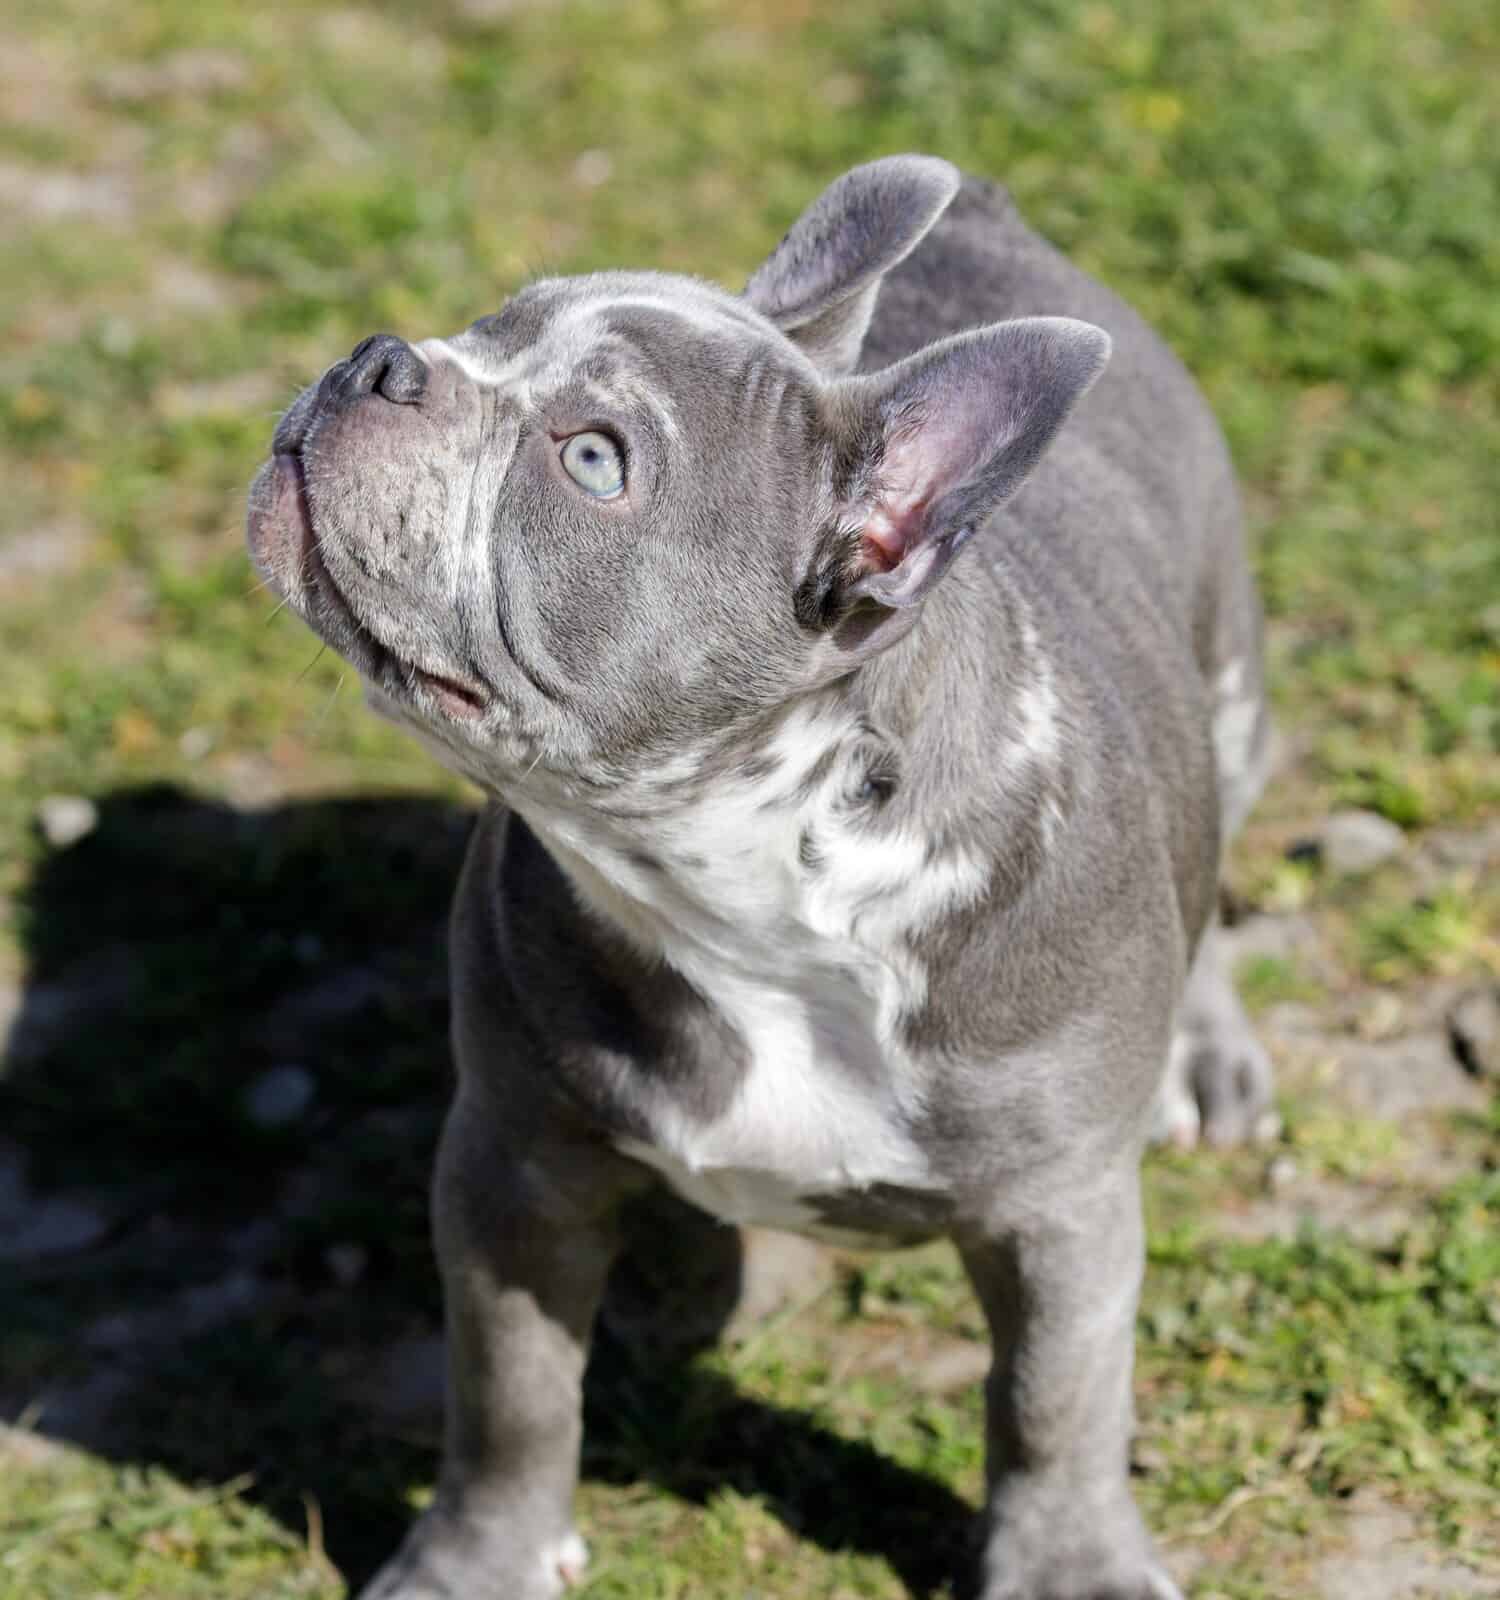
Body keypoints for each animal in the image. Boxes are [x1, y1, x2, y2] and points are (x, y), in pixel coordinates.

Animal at [247, 159, 1272, 1600]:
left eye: (594, 460)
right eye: (489, 325)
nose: (382, 359)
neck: (741, 894)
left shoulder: (1061, 1214)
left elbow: (1054, 1403)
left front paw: (1074, 1566)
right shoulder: (513, 1159)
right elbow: (508, 1390)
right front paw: (475, 1561)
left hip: (1231, 688)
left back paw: (1209, 1046)